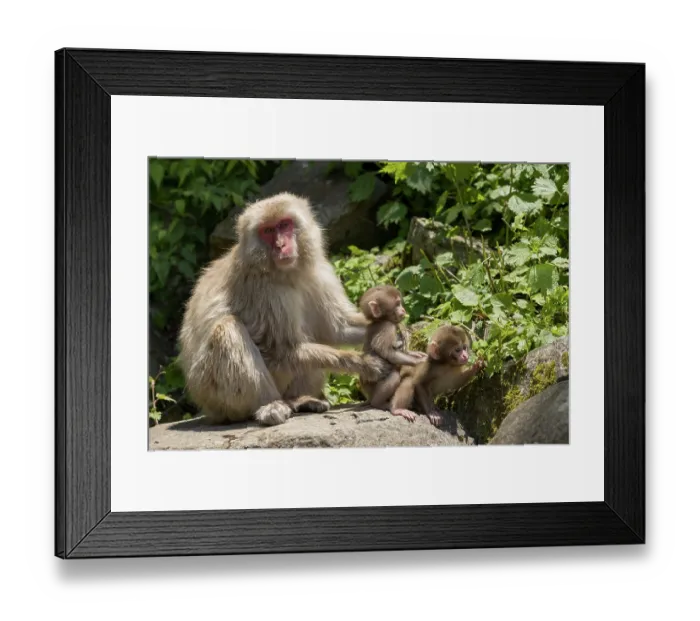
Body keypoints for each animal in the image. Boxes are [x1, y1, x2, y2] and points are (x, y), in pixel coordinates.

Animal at [177, 192, 385, 427]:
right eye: (267, 231)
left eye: (284, 225)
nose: (280, 245)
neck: (286, 273)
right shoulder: (263, 290)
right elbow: (280, 349)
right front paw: (364, 363)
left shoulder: (319, 273)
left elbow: (337, 328)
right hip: (212, 395)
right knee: (228, 329)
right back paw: (268, 406)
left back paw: (299, 400)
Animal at [356, 285, 427, 418]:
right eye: (397, 304)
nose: (403, 310)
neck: (380, 320)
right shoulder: (387, 327)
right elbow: (387, 352)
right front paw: (418, 361)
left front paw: (416, 354)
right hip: (370, 388)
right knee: (394, 376)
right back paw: (383, 405)